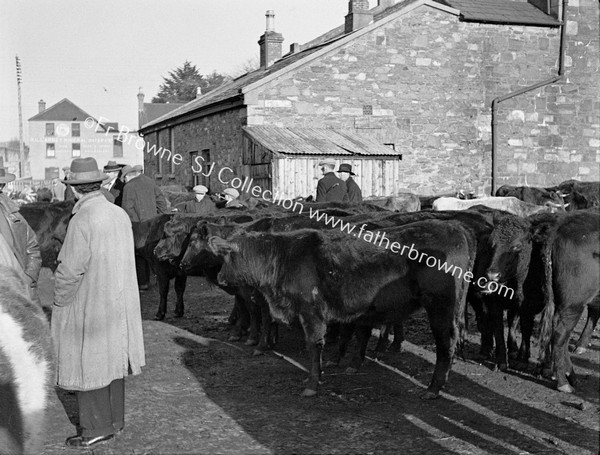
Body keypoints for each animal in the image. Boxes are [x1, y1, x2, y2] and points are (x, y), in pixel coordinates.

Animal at [209, 221, 476, 400]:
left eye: (226, 257)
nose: (220, 278)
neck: (283, 258)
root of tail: (454, 226)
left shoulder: (311, 313)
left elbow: (313, 346)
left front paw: (312, 383)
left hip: (441, 308)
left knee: (446, 344)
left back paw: (433, 388)